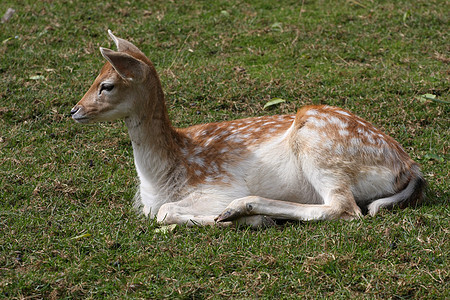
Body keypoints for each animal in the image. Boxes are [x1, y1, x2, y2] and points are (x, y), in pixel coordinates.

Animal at [70, 31, 426, 227]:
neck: (160, 179)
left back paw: (245, 210)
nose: (74, 110)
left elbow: (166, 212)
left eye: (107, 85)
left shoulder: (217, 187)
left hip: (322, 149)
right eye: (94, 78)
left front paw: (235, 219)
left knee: (345, 208)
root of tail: (410, 168)